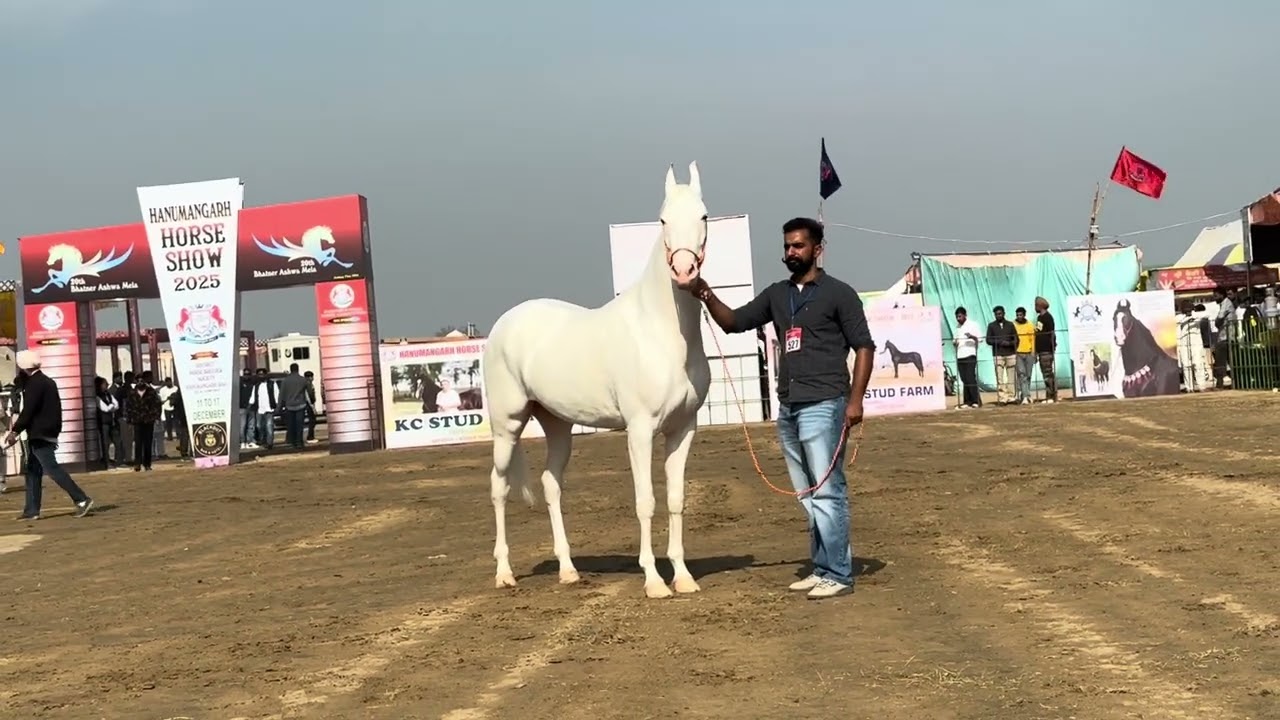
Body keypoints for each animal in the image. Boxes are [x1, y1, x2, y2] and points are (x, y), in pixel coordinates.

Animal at [482, 162, 712, 600]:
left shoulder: (683, 429)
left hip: (557, 425)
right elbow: (646, 501)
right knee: (498, 487)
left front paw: (683, 576)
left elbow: (676, 499)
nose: (684, 271)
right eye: (662, 220)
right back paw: (503, 573)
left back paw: (568, 570)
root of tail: (504, 323)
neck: (661, 332)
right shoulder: (639, 430)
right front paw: (654, 581)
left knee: (551, 484)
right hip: (508, 426)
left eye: (704, 216)